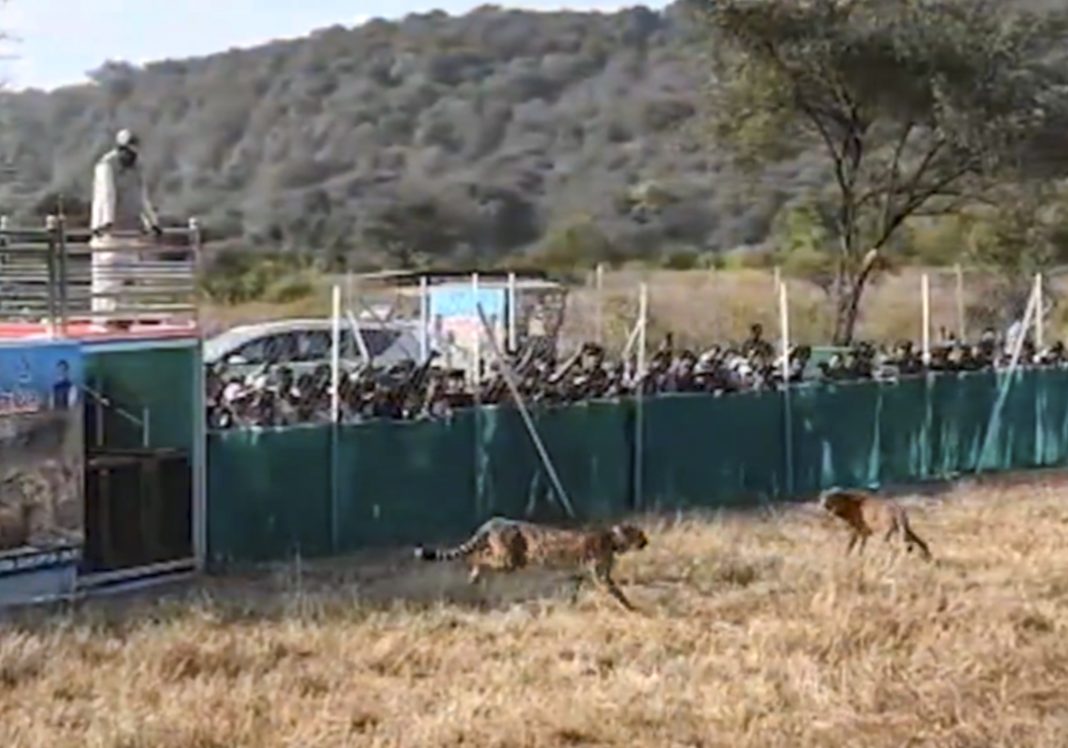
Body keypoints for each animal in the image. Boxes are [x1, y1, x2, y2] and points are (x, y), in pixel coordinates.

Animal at [414, 516, 649, 611]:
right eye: (640, 534)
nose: (647, 541)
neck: (612, 539)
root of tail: (496, 520)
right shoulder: (601, 576)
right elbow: (618, 592)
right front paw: (632, 608)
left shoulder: (577, 575)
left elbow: (573, 593)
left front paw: (568, 608)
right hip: (510, 560)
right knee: (476, 557)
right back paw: (473, 575)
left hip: (506, 557)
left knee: (480, 553)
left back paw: (474, 576)